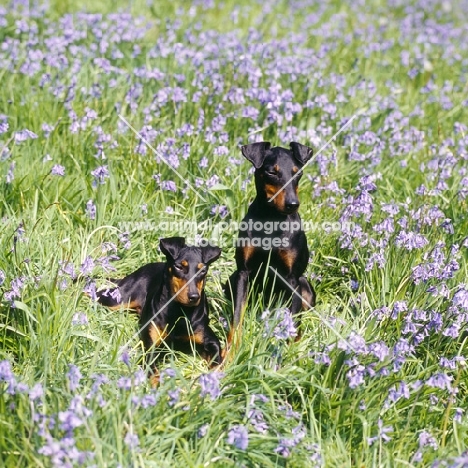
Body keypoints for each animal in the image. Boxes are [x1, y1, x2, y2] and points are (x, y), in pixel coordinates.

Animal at [95, 236, 223, 386]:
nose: (194, 297)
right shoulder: (151, 347)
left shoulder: (211, 341)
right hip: (119, 299)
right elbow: (153, 371)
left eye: (202, 271)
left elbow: (217, 361)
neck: (180, 311)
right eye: (179, 266)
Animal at [226, 142, 316, 344]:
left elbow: (293, 321)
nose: (293, 204)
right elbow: (237, 317)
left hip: (304, 286)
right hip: (231, 280)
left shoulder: (291, 279)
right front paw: (231, 350)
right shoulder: (243, 273)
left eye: (298, 173)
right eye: (272, 173)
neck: (271, 219)